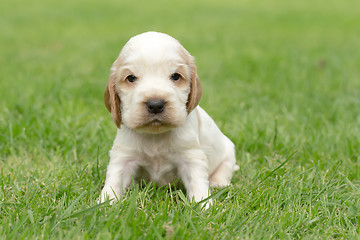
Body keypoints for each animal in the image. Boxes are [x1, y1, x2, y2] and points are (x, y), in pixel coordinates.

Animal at [100, 31, 238, 204]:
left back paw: (218, 184)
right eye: (131, 78)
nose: (155, 104)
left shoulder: (191, 156)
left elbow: (198, 183)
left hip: (228, 152)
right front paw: (105, 203)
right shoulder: (124, 156)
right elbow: (114, 181)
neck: (156, 136)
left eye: (175, 76)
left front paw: (204, 205)